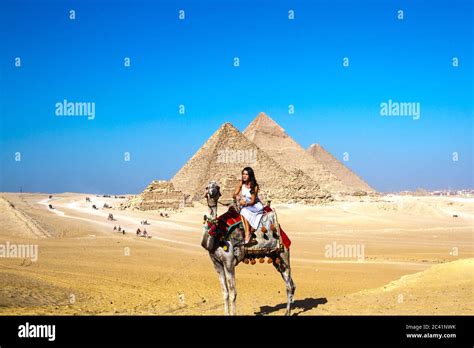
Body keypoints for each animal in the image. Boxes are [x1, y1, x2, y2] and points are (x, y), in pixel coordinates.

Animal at [201, 185, 296, 316]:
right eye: (208, 186)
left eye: (217, 187)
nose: (211, 192)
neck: (218, 234)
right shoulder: (217, 263)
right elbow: (225, 292)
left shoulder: (229, 262)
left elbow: (233, 293)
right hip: (276, 258)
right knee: (291, 284)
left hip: (284, 254)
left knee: (289, 285)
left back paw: (287, 312)